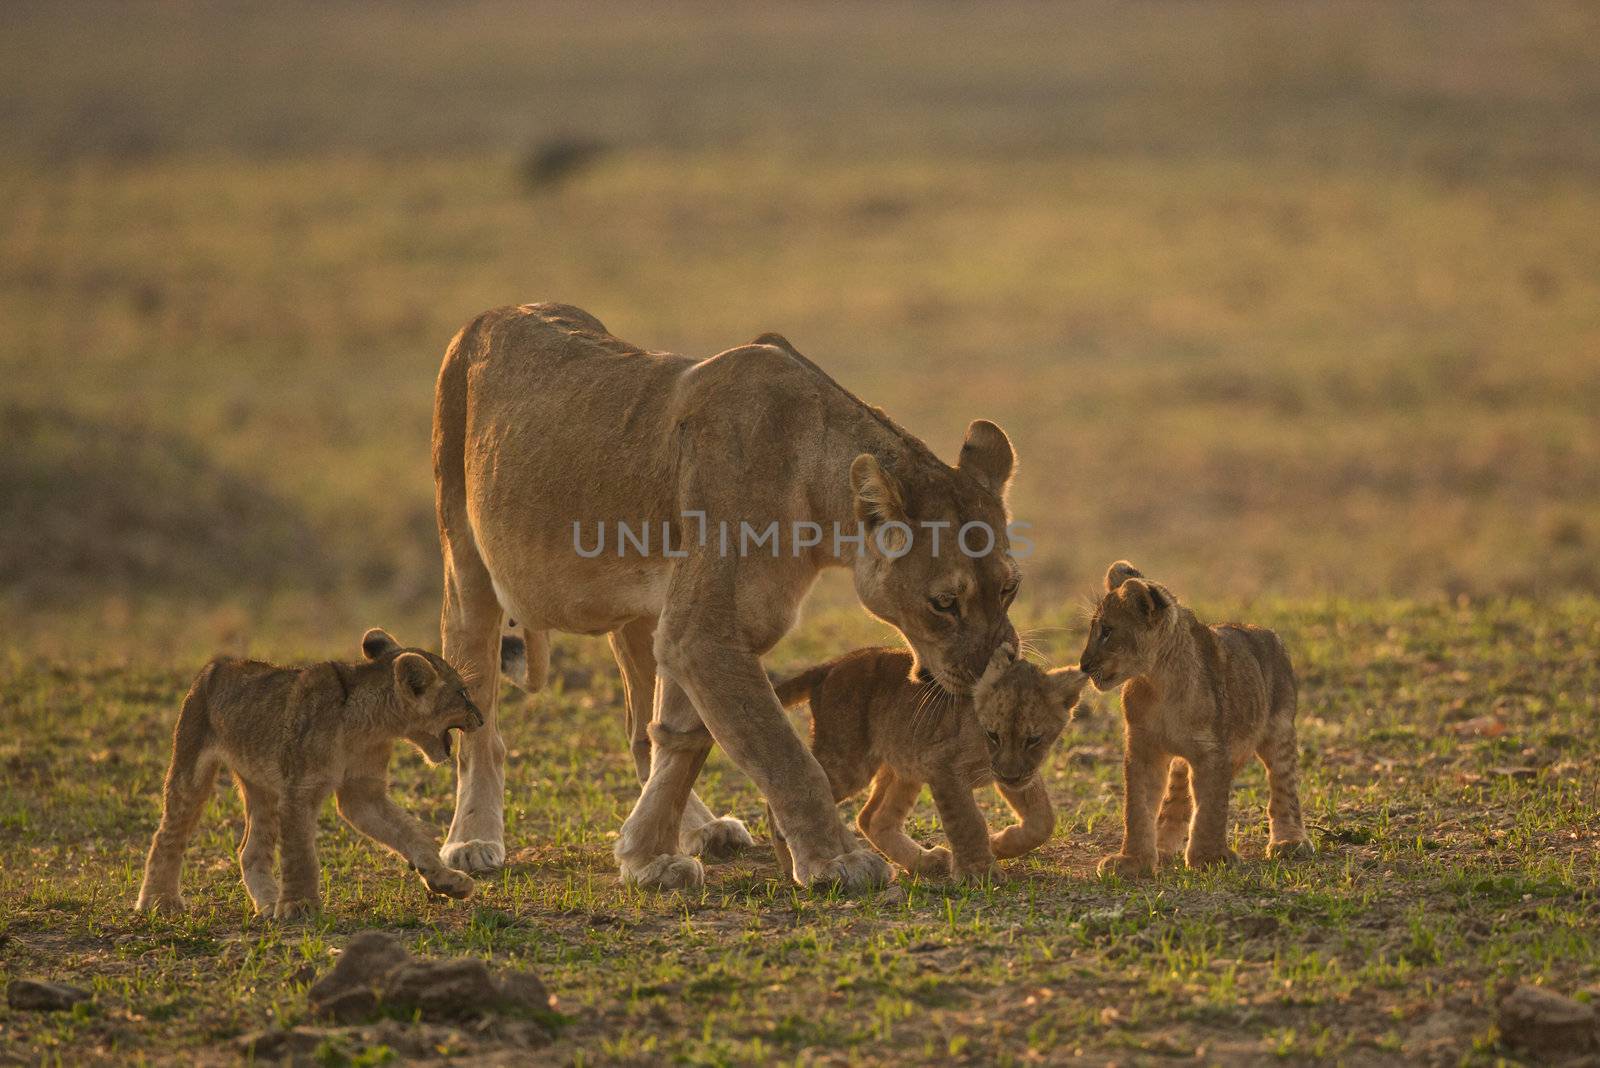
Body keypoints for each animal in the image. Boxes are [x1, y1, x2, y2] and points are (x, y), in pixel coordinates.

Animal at [432, 303, 1017, 888]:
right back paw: (471, 841)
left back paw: (704, 829)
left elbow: (684, 738)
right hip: (465, 561)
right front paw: (836, 860)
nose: (1000, 668)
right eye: (944, 603)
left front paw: (645, 856)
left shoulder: (709, 628)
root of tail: (493, 313)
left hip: (642, 612)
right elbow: (782, 752)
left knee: (641, 728)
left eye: (1010, 588)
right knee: (479, 722)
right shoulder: (702, 634)